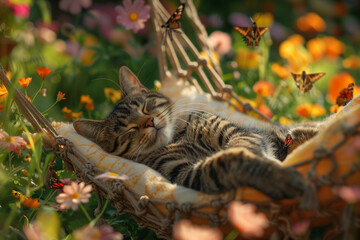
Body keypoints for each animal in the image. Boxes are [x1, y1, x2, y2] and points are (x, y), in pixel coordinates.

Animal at [72, 66, 318, 200]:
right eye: (127, 129)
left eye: (145, 107)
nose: (149, 122)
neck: (178, 137)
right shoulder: (186, 173)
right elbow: (229, 161)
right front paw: (278, 176)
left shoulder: (234, 132)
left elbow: (242, 147)